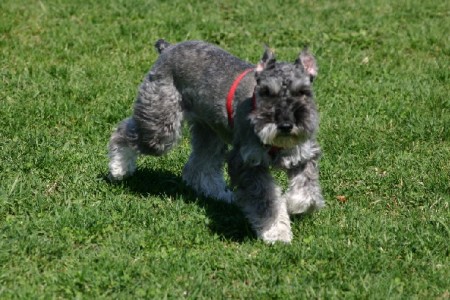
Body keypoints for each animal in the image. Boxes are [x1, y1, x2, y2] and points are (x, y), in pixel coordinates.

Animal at [110, 39, 326, 243]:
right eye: (266, 92)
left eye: (303, 92)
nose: (286, 125)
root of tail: (168, 48)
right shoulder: (246, 163)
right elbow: (266, 201)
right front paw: (276, 232)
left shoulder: (303, 155)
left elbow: (307, 192)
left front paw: (292, 204)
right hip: (161, 129)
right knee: (123, 132)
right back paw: (118, 168)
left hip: (209, 132)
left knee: (199, 167)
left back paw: (221, 195)